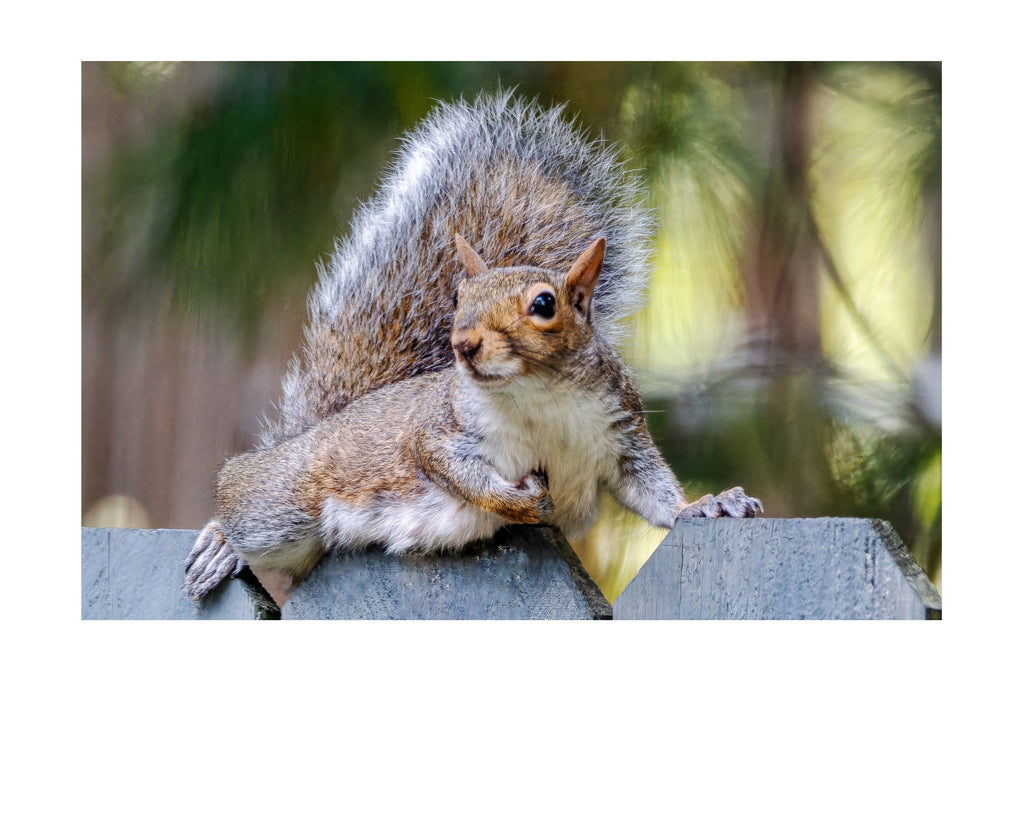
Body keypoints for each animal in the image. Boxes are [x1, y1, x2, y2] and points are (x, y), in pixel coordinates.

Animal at [184, 91, 762, 602]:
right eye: (459, 296)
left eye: (545, 304)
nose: (461, 343)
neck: (541, 395)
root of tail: (313, 431)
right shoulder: (438, 430)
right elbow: (447, 465)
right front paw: (514, 503)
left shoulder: (622, 434)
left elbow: (652, 491)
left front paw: (706, 506)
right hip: (285, 501)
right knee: (239, 496)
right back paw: (220, 545)